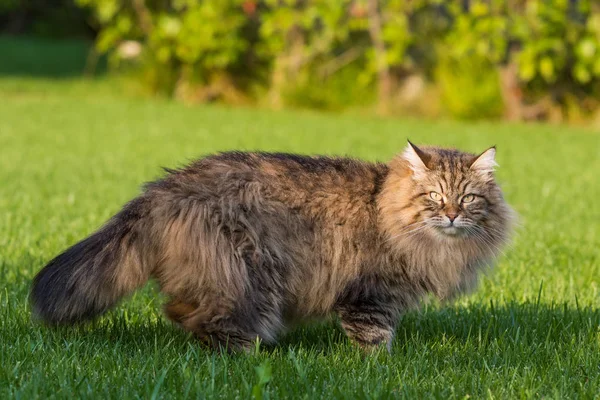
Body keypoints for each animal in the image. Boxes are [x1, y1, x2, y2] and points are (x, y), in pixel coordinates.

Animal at [30, 141, 512, 350]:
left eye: (468, 198)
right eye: (434, 196)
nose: (451, 214)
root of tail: (164, 188)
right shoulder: (371, 292)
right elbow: (374, 337)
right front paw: (379, 366)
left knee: (179, 308)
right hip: (245, 275)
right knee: (211, 321)